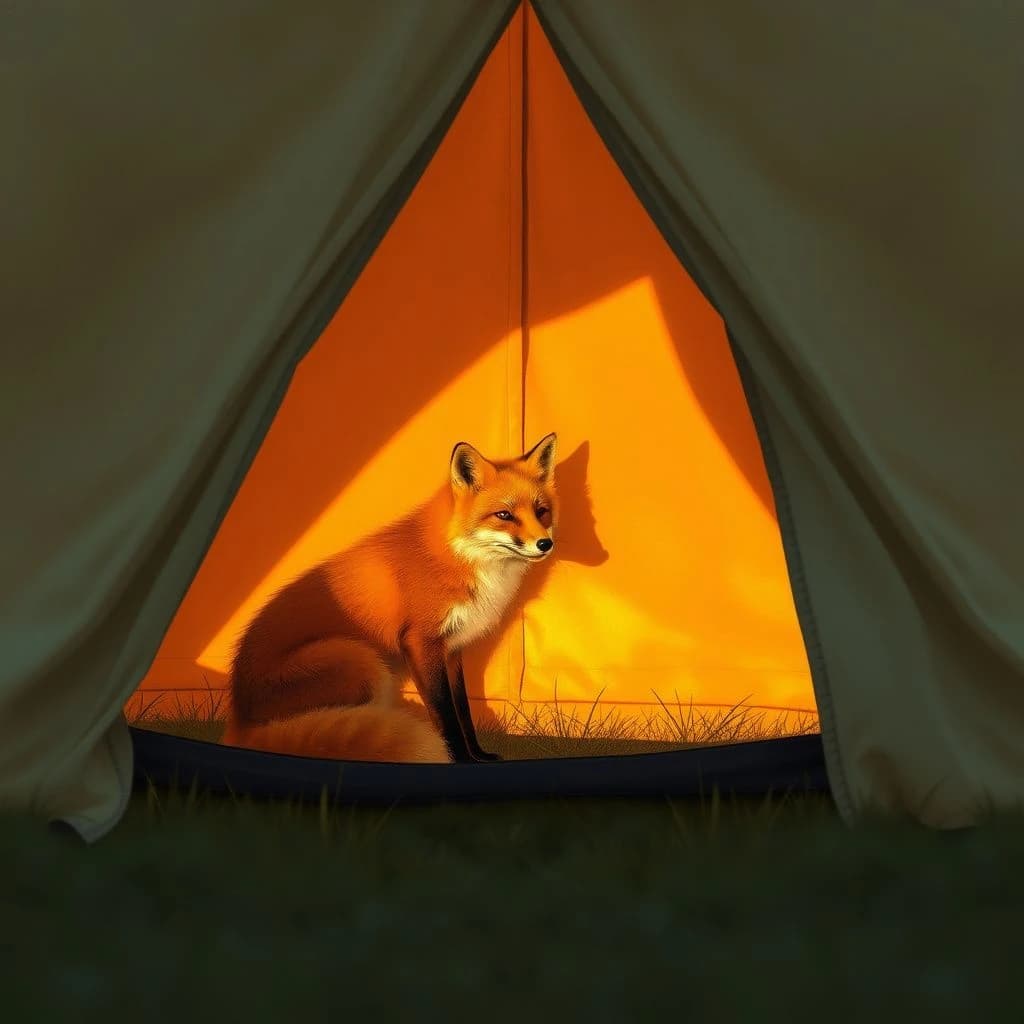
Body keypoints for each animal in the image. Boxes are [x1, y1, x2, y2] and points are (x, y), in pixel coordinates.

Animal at [221, 432, 559, 764]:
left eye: (541, 511)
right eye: (504, 515)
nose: (545, 544)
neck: (461, 557)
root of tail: (239, 717)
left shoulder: (451, 649)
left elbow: (463, 711)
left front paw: (479, 756)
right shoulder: (421, 643)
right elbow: (446, 714)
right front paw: (460, 760)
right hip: (361, 659)